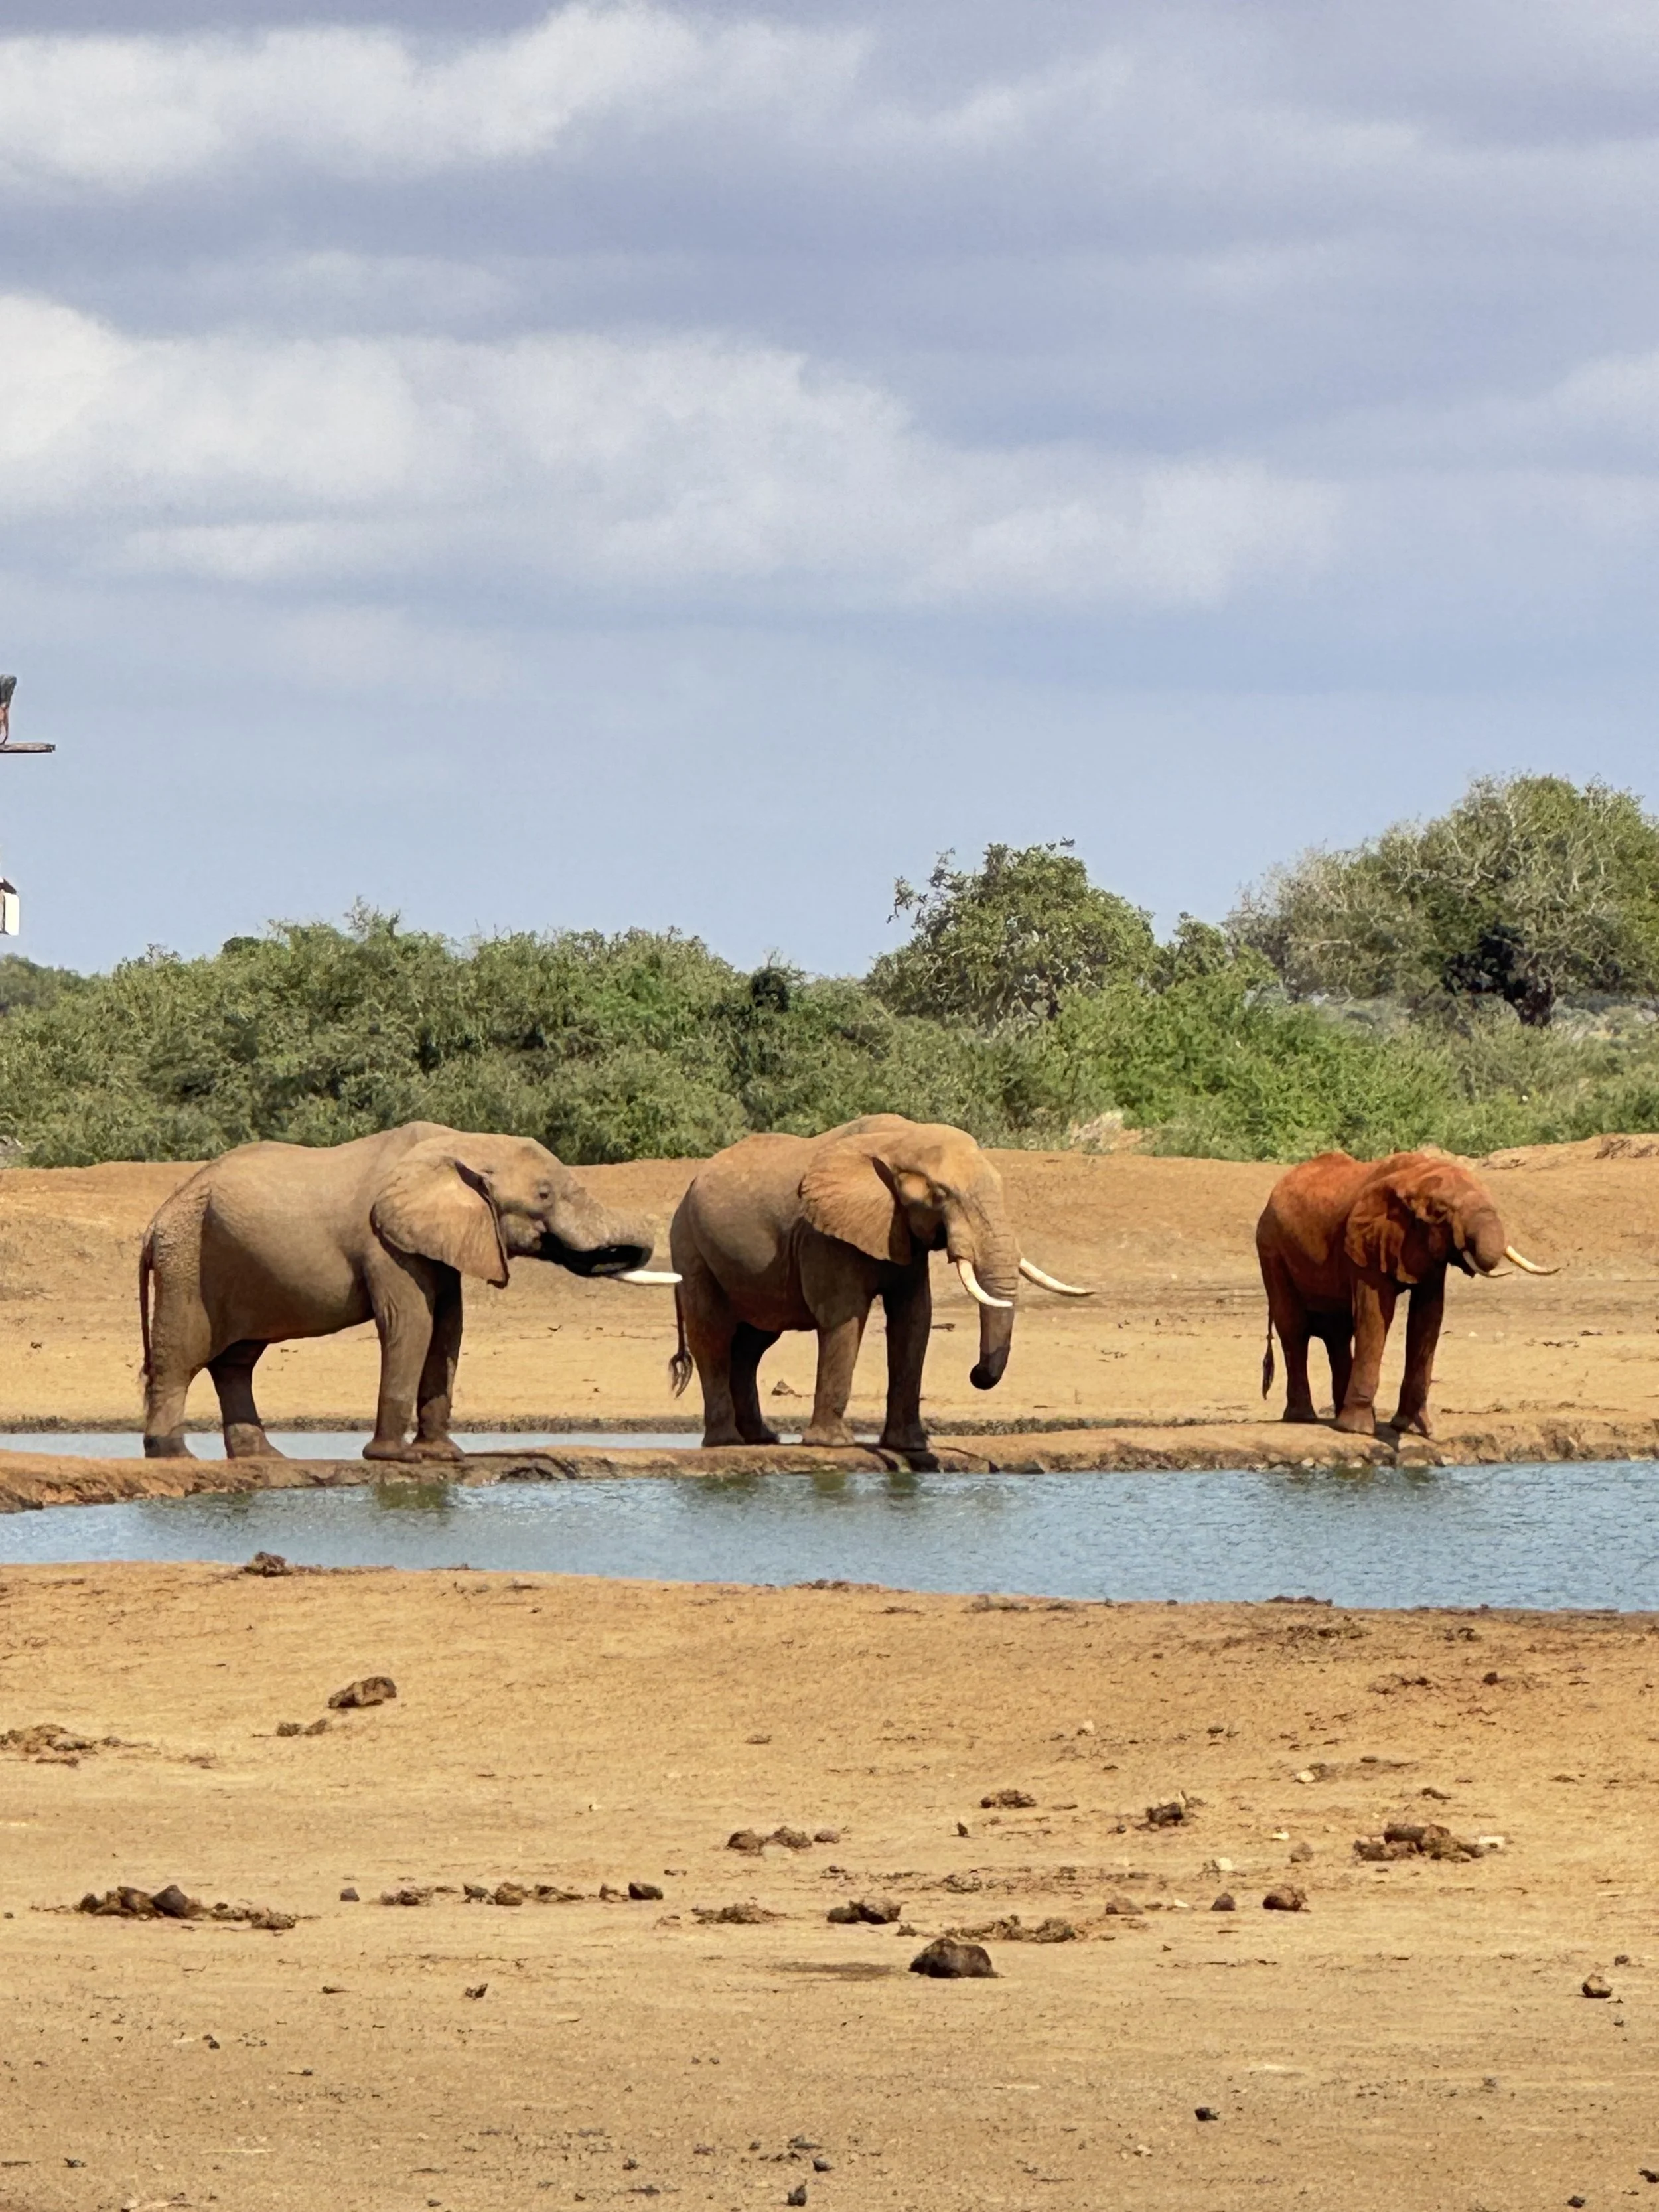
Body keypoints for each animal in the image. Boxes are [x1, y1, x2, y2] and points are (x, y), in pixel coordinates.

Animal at [139, 1122, 677, 1462]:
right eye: (544, 1194)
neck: (464, 1143)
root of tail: (158, 1218)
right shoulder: (385, 1241)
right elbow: (413, 1322)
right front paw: (394, 1459)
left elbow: (448, 1327)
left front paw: (443, 1456)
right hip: (188, 1260)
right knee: (180, 1357)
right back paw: (174, 1456)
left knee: (236, 1362)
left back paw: (267, 1458)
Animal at [667, 1114, 1089, 1453]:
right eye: (941, 1195)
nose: (976, 1374)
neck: (901, 1140)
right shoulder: (823, 1234)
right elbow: (844, 1317)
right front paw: (833, 1445)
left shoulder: (901, 1229)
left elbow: (914, 1319)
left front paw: (911, 1447)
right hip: (689, 1245)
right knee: (713, 1335)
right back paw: (726, 1442)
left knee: (752, 1344)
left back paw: (761, 1439)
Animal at [1256, 1149, 1556, 1437]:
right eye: (1442, 1212)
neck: (1417, 1176)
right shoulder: (1365, 1243)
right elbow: (1375, 1315)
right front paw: (1361, 1430)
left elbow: (1427, 1317)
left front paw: (1410, 1427)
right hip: (1270, 1247)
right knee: (1294, 1328)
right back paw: (1305, 1418)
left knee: (1338, 1333)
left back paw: (1338, 1417)